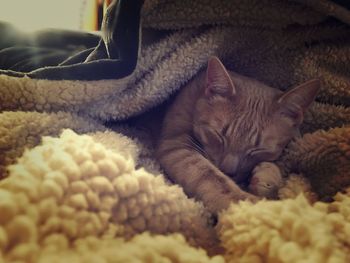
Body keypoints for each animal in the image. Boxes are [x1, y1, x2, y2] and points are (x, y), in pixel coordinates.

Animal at [156, 56, 320, 214]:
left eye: (257, 149)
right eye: (218, 135)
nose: (228, 171)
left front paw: (267, 177)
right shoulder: (176, 145)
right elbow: (213, 180)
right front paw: (250, 207)